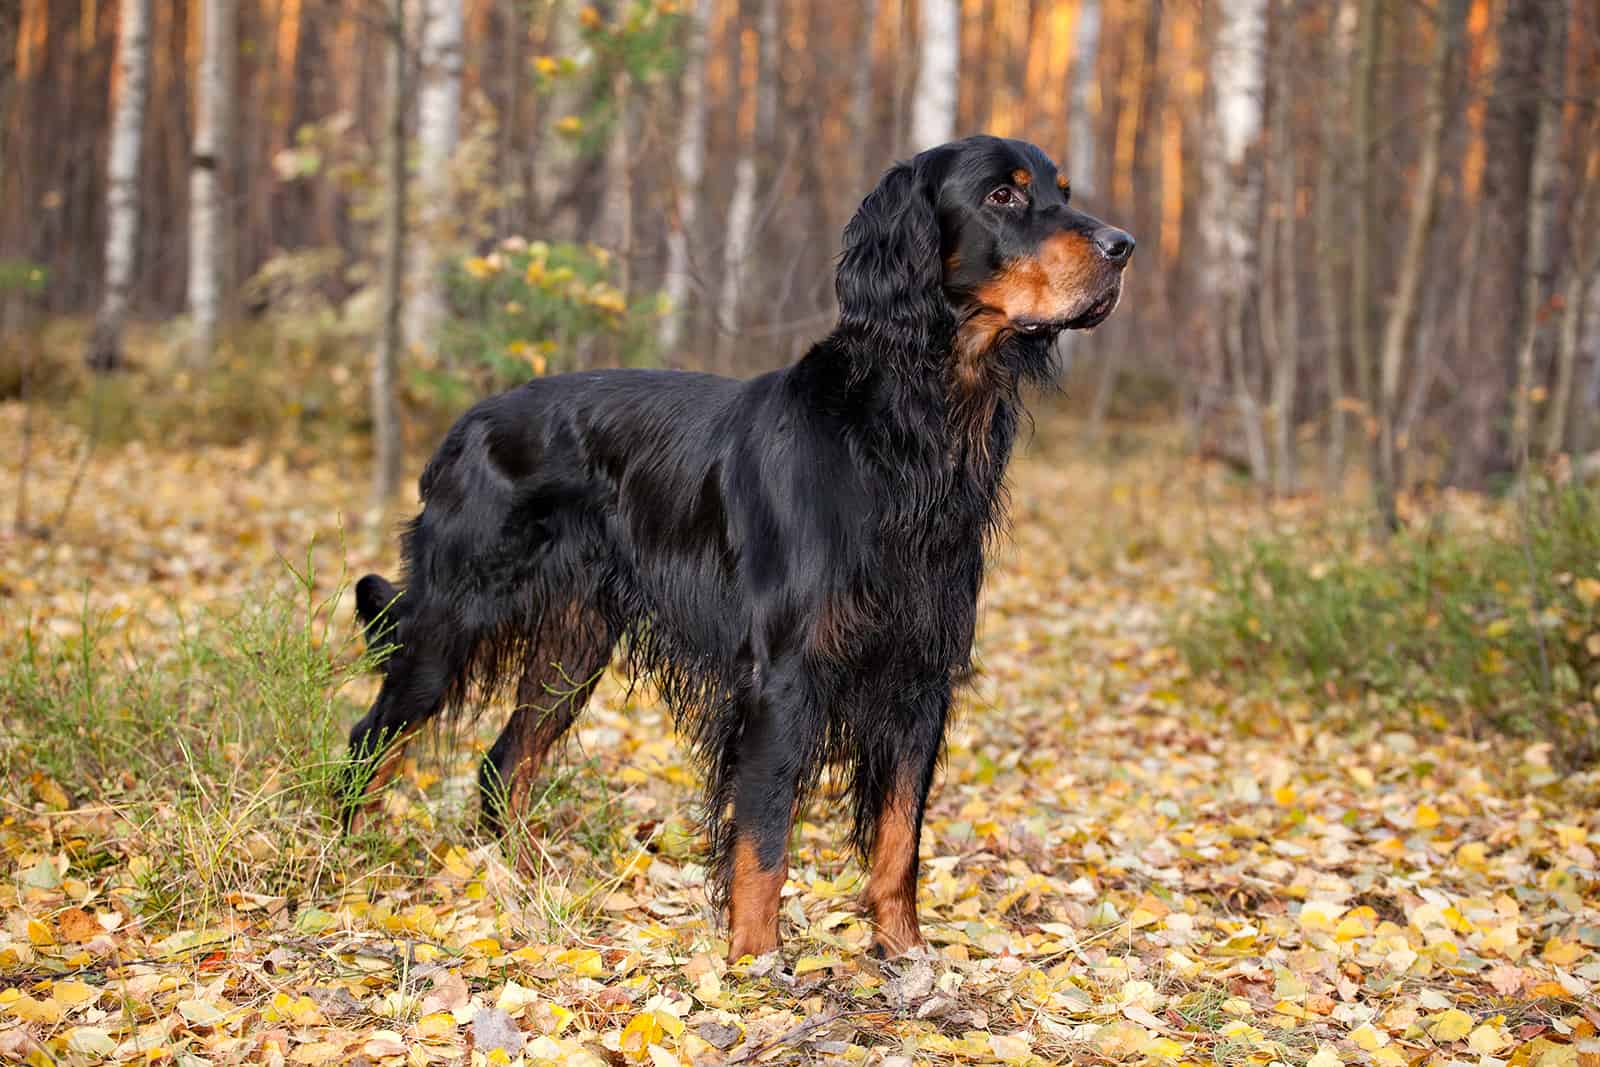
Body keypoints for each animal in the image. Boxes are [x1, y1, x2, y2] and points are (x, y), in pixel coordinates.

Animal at [344, 133, 1132, 959]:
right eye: (1003, 196)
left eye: (1062, 190)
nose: (1125, 246)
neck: (904, 433)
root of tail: (463, 427)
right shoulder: (783, 673)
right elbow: (764, 834)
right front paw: (754, 959)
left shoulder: (921, 668)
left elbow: (899, 834)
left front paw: (903, 948)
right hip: (449, 620)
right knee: (371, 739)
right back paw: (351, 856)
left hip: (574, 643)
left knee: (502, 766)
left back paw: (528, 888)